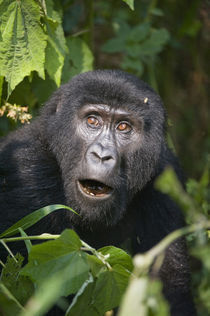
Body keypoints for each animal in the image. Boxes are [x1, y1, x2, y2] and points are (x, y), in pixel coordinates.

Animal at [0, 70, 195, 314]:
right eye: (93, 121)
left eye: (123, 127)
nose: (102, 155)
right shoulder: (26, 169)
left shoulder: (165, 174)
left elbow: (170, 287)